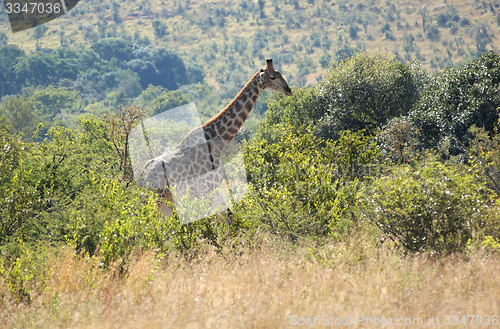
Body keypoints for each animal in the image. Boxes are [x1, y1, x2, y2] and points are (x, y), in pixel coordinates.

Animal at [137, 57, 292, 224]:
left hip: (165, 200)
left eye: (279, 73)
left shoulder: (213, 188)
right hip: (155, 200)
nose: (288, 90)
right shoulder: (206, 188)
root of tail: (140, 179)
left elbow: (229, 215)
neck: (215, 143)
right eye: (272, 77)